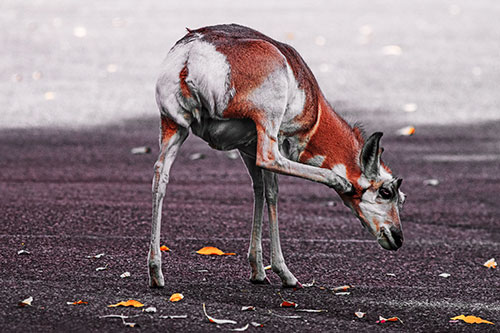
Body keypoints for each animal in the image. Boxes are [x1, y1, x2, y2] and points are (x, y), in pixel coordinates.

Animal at [147, 23, 402, 288]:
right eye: (387, 192)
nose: (398, 238)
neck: (315, 108)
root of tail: (194, 49)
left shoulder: (246, 149)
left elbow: (258, 190)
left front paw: (258, 270)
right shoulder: (274, 139)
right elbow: (272, 193)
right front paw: (282, 272)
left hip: (174, 128)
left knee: (160, 176)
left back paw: (156, 272)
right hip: (266, 123)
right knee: (269, 160)